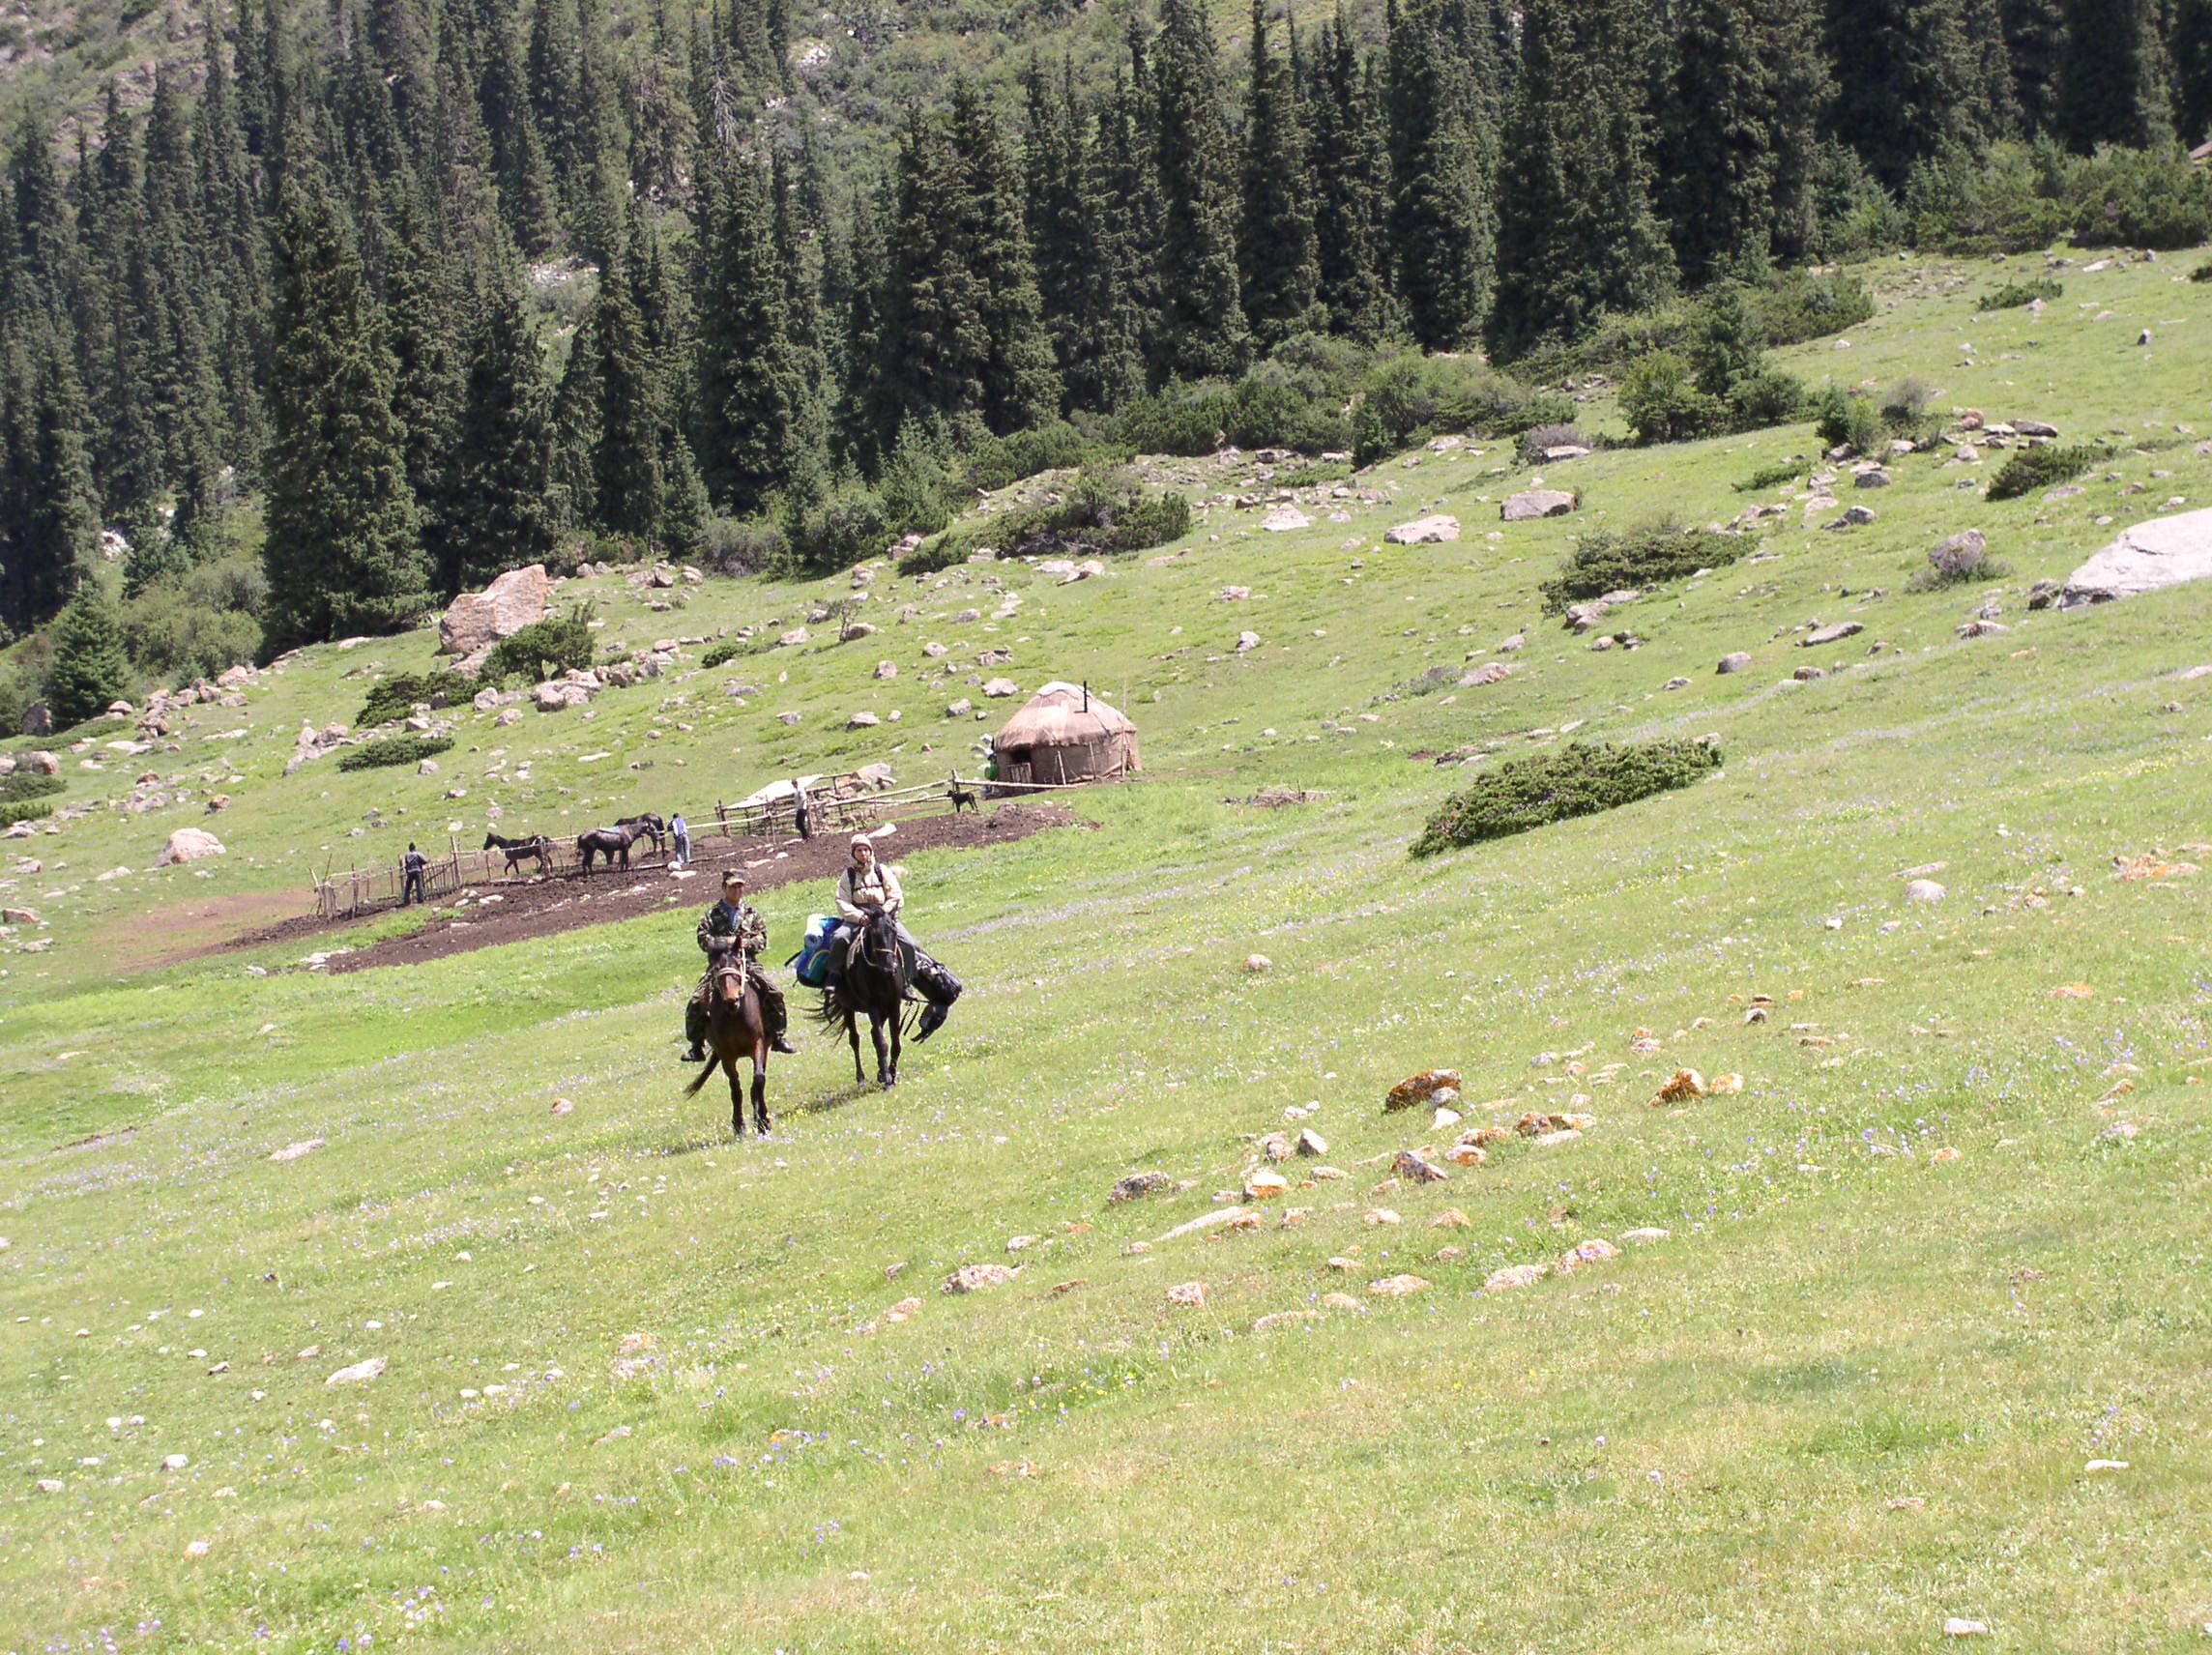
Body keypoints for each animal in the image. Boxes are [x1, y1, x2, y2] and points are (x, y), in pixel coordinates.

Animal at [813, 907, 907, 1084]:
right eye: (874, 934)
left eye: (893, 930)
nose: (889, 969)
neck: (880, 974)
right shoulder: (873, 1006)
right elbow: (881, 1043)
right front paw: (887, 1079)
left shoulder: (893, 1005)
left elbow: (895, 1042)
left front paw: (891, 1074)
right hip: (847, 1008)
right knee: (855, 1039)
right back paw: (861, 1079)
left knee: (872, 1034)